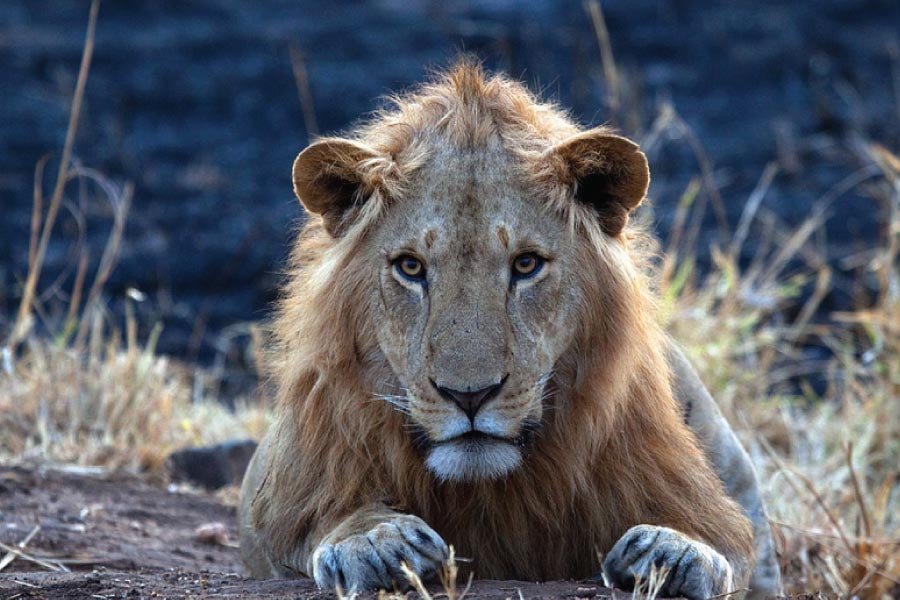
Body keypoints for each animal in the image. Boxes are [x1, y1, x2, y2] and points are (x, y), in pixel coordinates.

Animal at [238, 61, 781, 600]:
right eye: (411, 267)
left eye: (526, 264)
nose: (469, 396)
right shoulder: (274, 493)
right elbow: (312, 518)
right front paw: (376, 541)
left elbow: (719, 534)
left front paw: (676, 550)